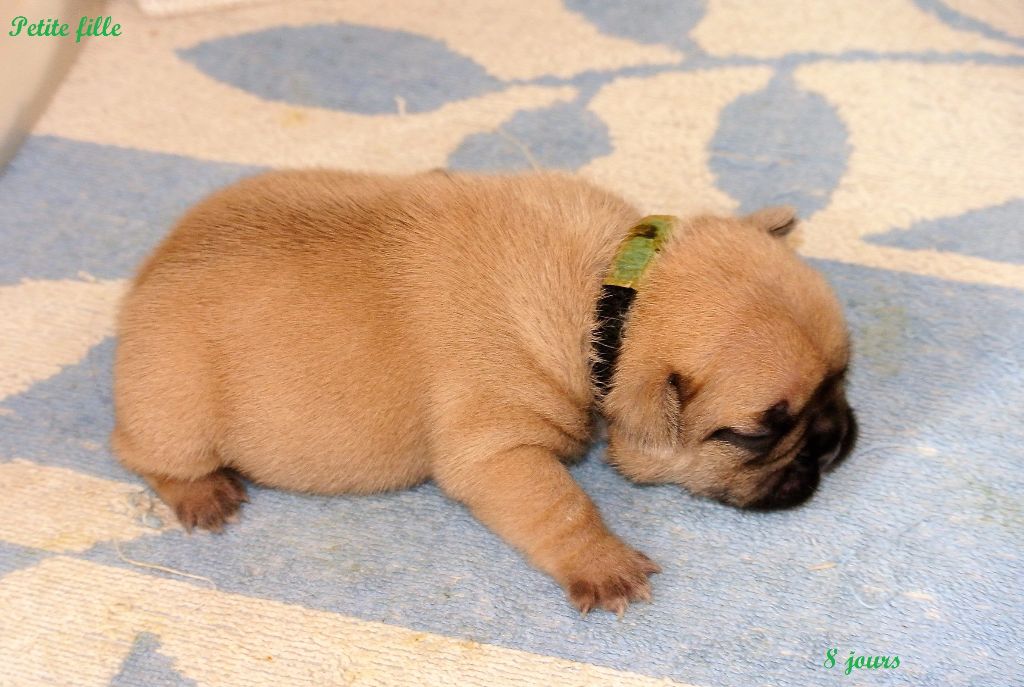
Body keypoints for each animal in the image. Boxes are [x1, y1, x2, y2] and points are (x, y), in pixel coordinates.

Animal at [112, 168, 856, 614]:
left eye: (842, 374)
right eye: (756, 433)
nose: (833, 437)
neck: (611, 296)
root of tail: (142, 282)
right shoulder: (501, 451)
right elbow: (562, 506)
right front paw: (604, 564)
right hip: (175, 410)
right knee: (140, 452)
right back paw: (202, 494)